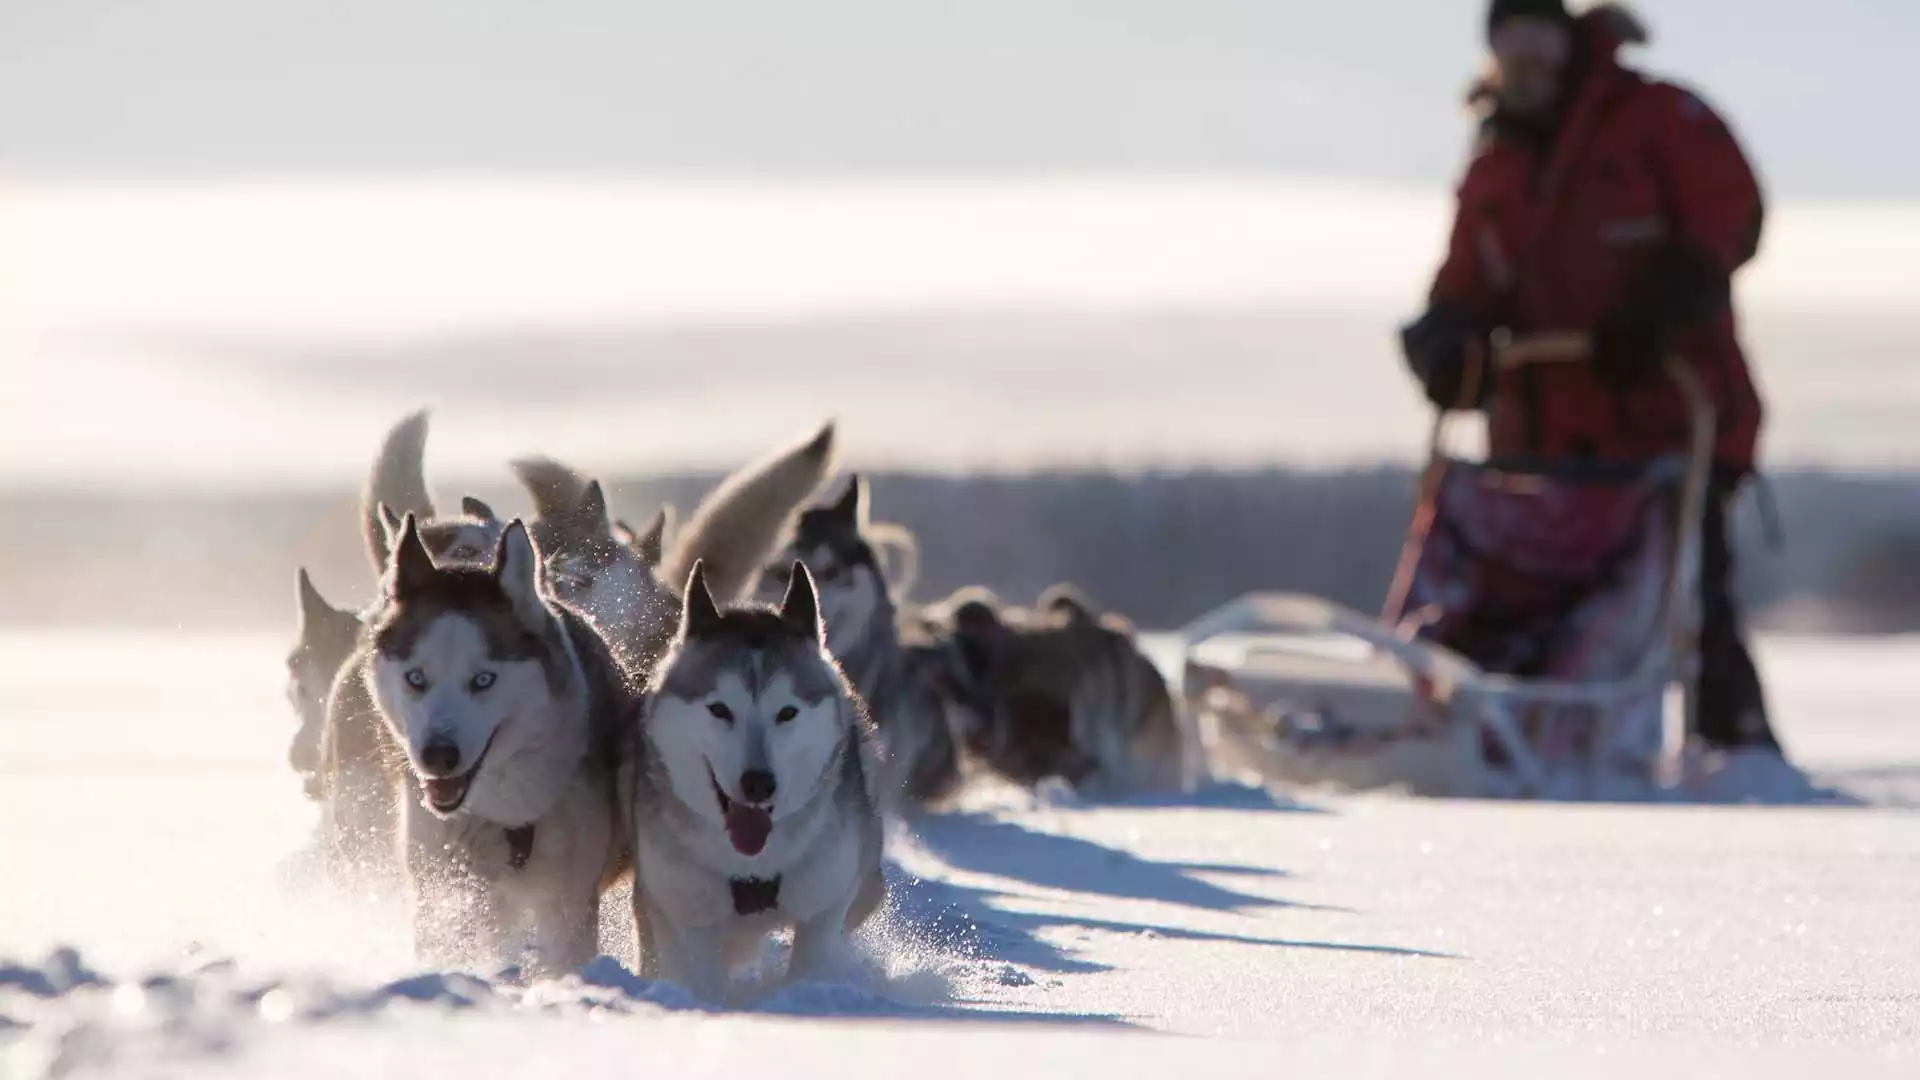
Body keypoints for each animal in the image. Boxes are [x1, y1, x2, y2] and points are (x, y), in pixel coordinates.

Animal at [359, 511, 629, 976]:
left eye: (483, 680)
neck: (503, 814)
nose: (437, 756)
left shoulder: (567, 904)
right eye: (416, 678)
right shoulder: (446, 895)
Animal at [629, 557, 883, 999]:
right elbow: (695, 978)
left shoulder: (824, 904)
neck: (751, 868)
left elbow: (811, 963)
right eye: (720, 710)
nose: (758, 783)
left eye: (787, 712)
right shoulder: (683, 911)